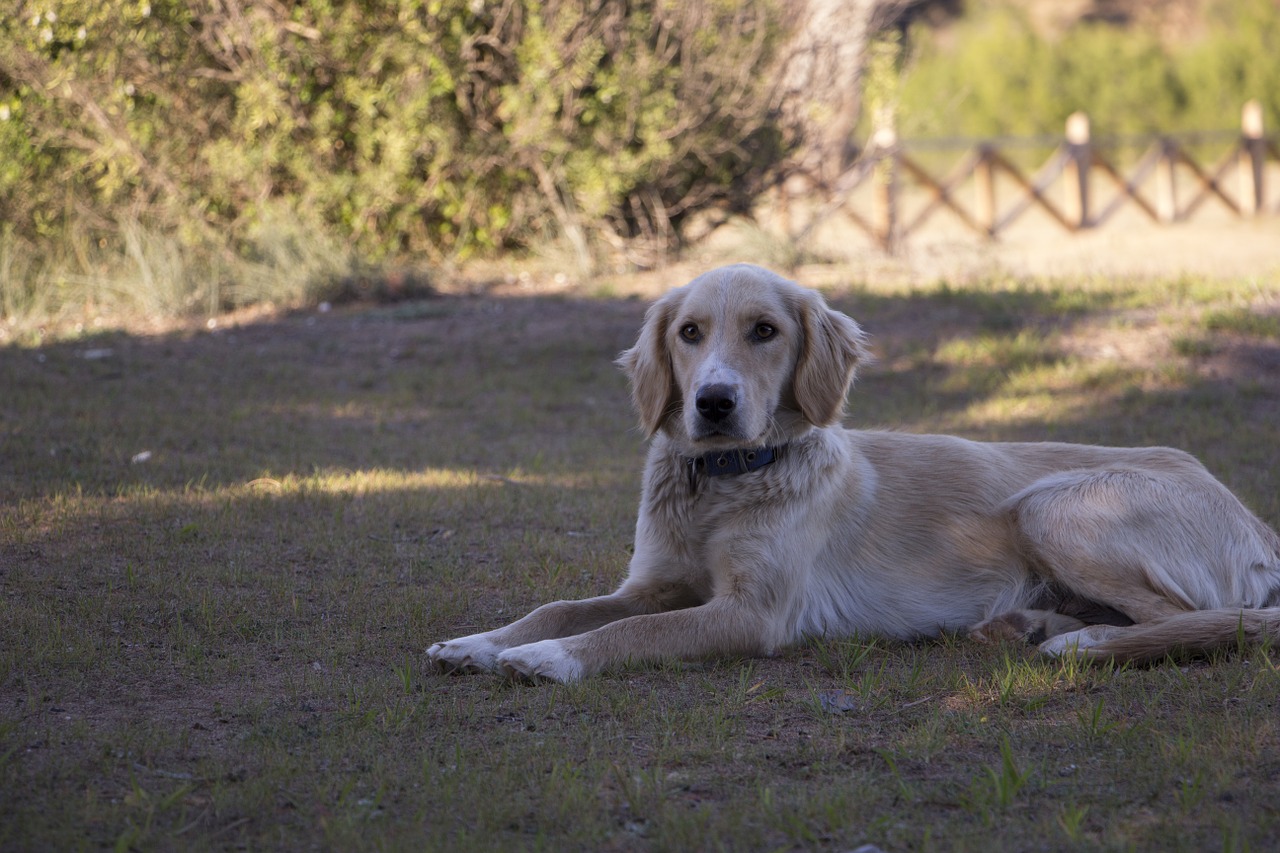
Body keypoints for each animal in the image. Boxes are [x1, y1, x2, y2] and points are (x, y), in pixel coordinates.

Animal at [427, 262, 1280, 681]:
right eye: (689, 332)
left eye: (764, 331)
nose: (712, 402)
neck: (724, 481)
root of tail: (1253, 518)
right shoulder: (653, 580)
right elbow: (564, 606)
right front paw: (480, 641)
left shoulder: (754, 612)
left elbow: (632, 632)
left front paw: (545, 659)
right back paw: (1032, 623)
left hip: (1054, 506)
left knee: (1200, 620)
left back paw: (1083, 643)